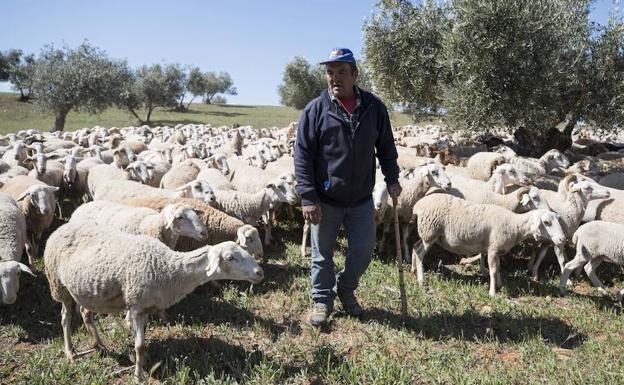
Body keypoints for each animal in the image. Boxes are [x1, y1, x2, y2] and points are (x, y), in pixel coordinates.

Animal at [42, 220, 264, 380]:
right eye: (230, 258)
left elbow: (140, 339)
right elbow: (139, 345)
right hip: (58, 285)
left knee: (85, 312)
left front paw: (145, 359)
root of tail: (62, 226)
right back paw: (70, 352)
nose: (259, 272)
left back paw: (99, 344)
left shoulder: (145, 306)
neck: (168, 268)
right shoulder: (137, 305)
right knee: (65, 318)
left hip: (84, 290)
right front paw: (139, 374)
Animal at [410, 194, 564, 296]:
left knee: (415, 247)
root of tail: (418, 205)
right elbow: (493, 270)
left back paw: (413, 270)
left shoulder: (497, 249)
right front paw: (492, 292)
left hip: (428, 234)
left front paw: (500, 285)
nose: (562, 239)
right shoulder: (493, 249)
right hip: (430, 231)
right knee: (420, 252)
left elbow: (499, 268)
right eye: (546, 222)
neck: (514, 225)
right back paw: (421, 279)